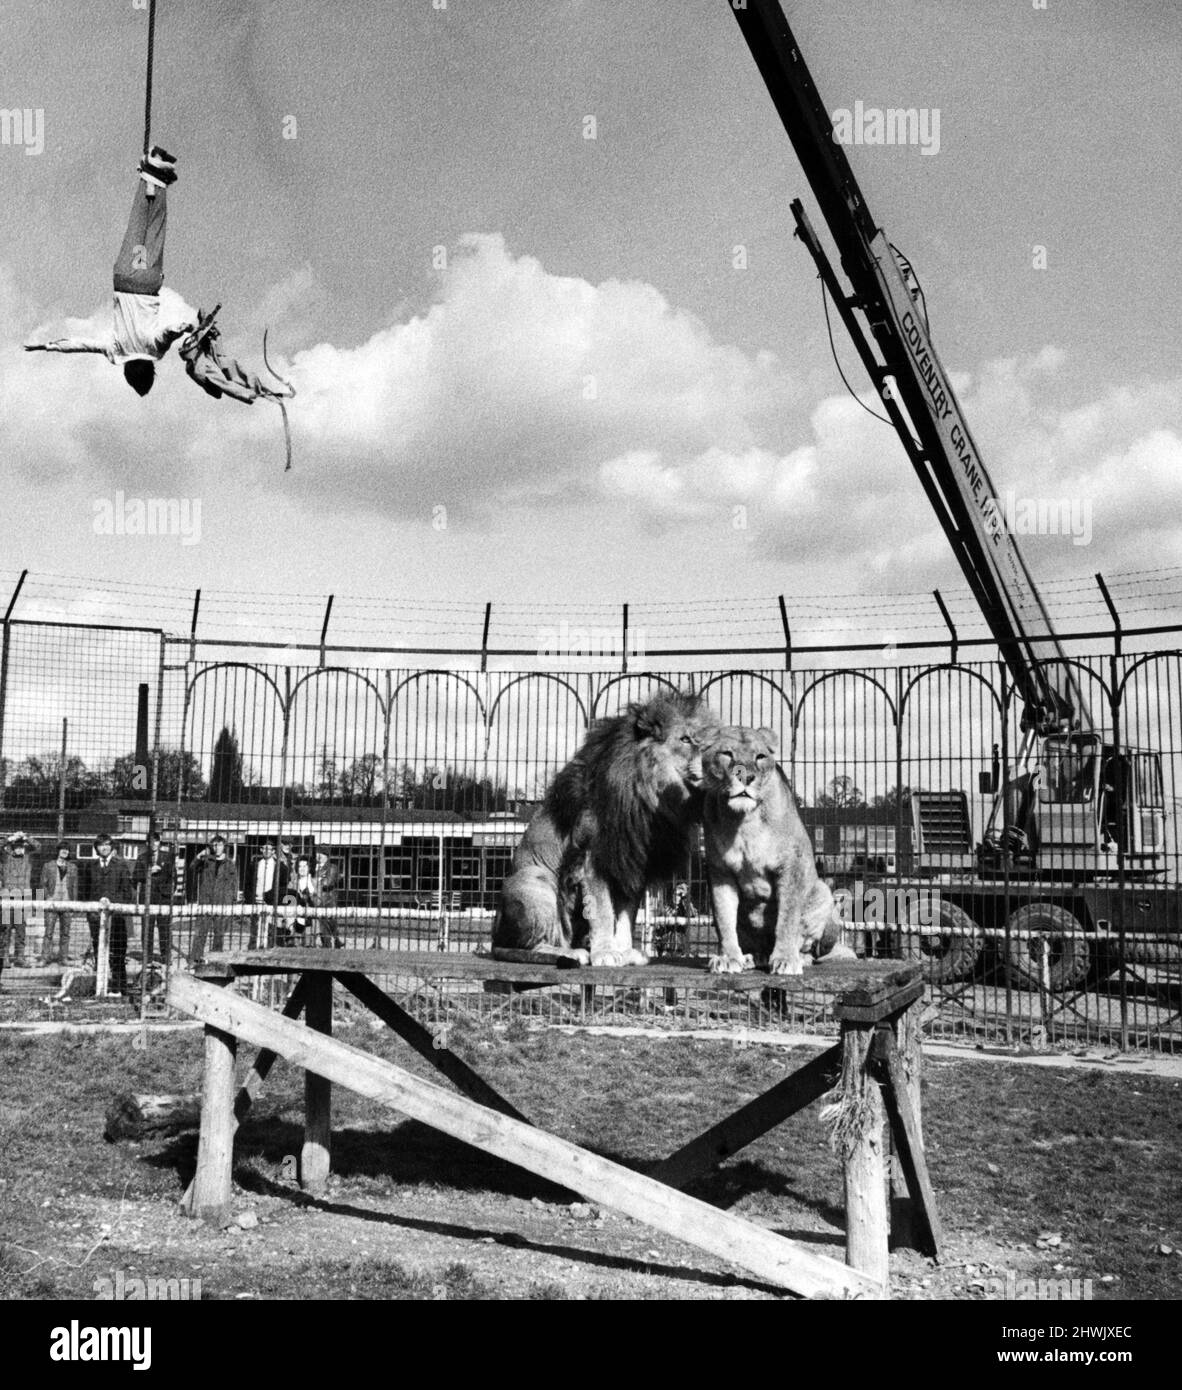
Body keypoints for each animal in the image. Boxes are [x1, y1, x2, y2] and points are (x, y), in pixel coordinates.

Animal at [489, 686, 717, 967]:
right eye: (685, 739)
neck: (653, 800)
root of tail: (494, 936)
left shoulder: (632, 865)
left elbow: (626, 916)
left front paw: (625, 952)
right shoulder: (592, 860)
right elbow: (604, 911)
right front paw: (606, 953)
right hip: (534, 881)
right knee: (523, 948)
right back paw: (571, 953)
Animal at [700, 728, 845, 978]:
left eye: (760, 756)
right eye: (727, 753)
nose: (745, 777)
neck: (744, 821)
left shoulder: (790, 866)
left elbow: (787, 919)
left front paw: (786, 960)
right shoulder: (721, 872)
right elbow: (724, 918)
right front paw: (729, 958)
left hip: (823, 892)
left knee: (810, 946)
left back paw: (798, 958)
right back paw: (752, 957)